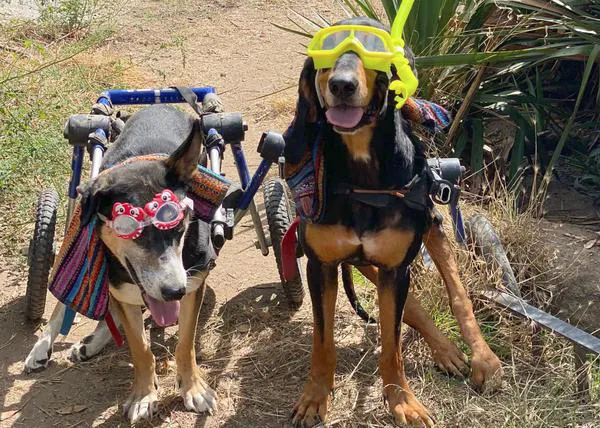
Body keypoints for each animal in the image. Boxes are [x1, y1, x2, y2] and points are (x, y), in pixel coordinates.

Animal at [284, 16, 502, 424]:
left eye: (375, 48)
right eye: (327, 49)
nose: (342, 85)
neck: (362, 175)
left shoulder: (396, 266)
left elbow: (392, 344)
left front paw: (402, 401)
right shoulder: (322, 265)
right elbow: (323, 341)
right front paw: (315, 396)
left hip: (430, 228)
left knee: (458, 296)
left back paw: (481, 358)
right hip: (364, 262)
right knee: (411, 306)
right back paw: (447, 350)